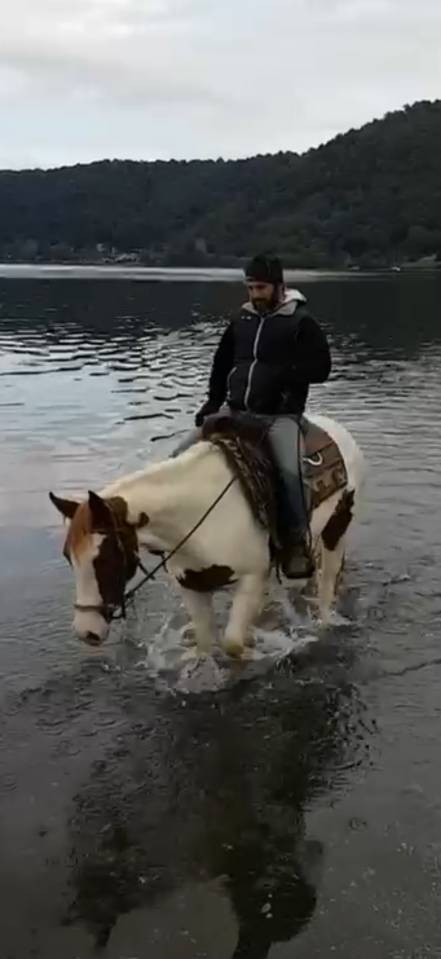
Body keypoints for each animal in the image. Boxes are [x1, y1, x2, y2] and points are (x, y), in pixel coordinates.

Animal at [49, 412, 365, 658]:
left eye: (104, 558)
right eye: (67, 557)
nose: (86, 631)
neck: (197, 511)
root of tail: (337, 430)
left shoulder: (252, 576)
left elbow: (232, 644)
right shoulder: (192, 585)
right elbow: (205, 643)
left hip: (337, 527)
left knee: (327, 583)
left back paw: (324, 624)